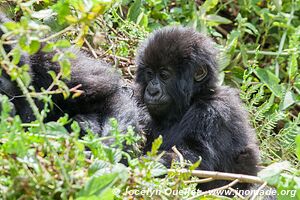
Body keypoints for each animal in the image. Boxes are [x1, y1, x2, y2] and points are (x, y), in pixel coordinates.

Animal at [136, 25, 260, 191]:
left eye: (164, 75)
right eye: (149, 73)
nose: (152, 91)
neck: (194, 98)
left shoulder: (213, 113)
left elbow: (197, 160)